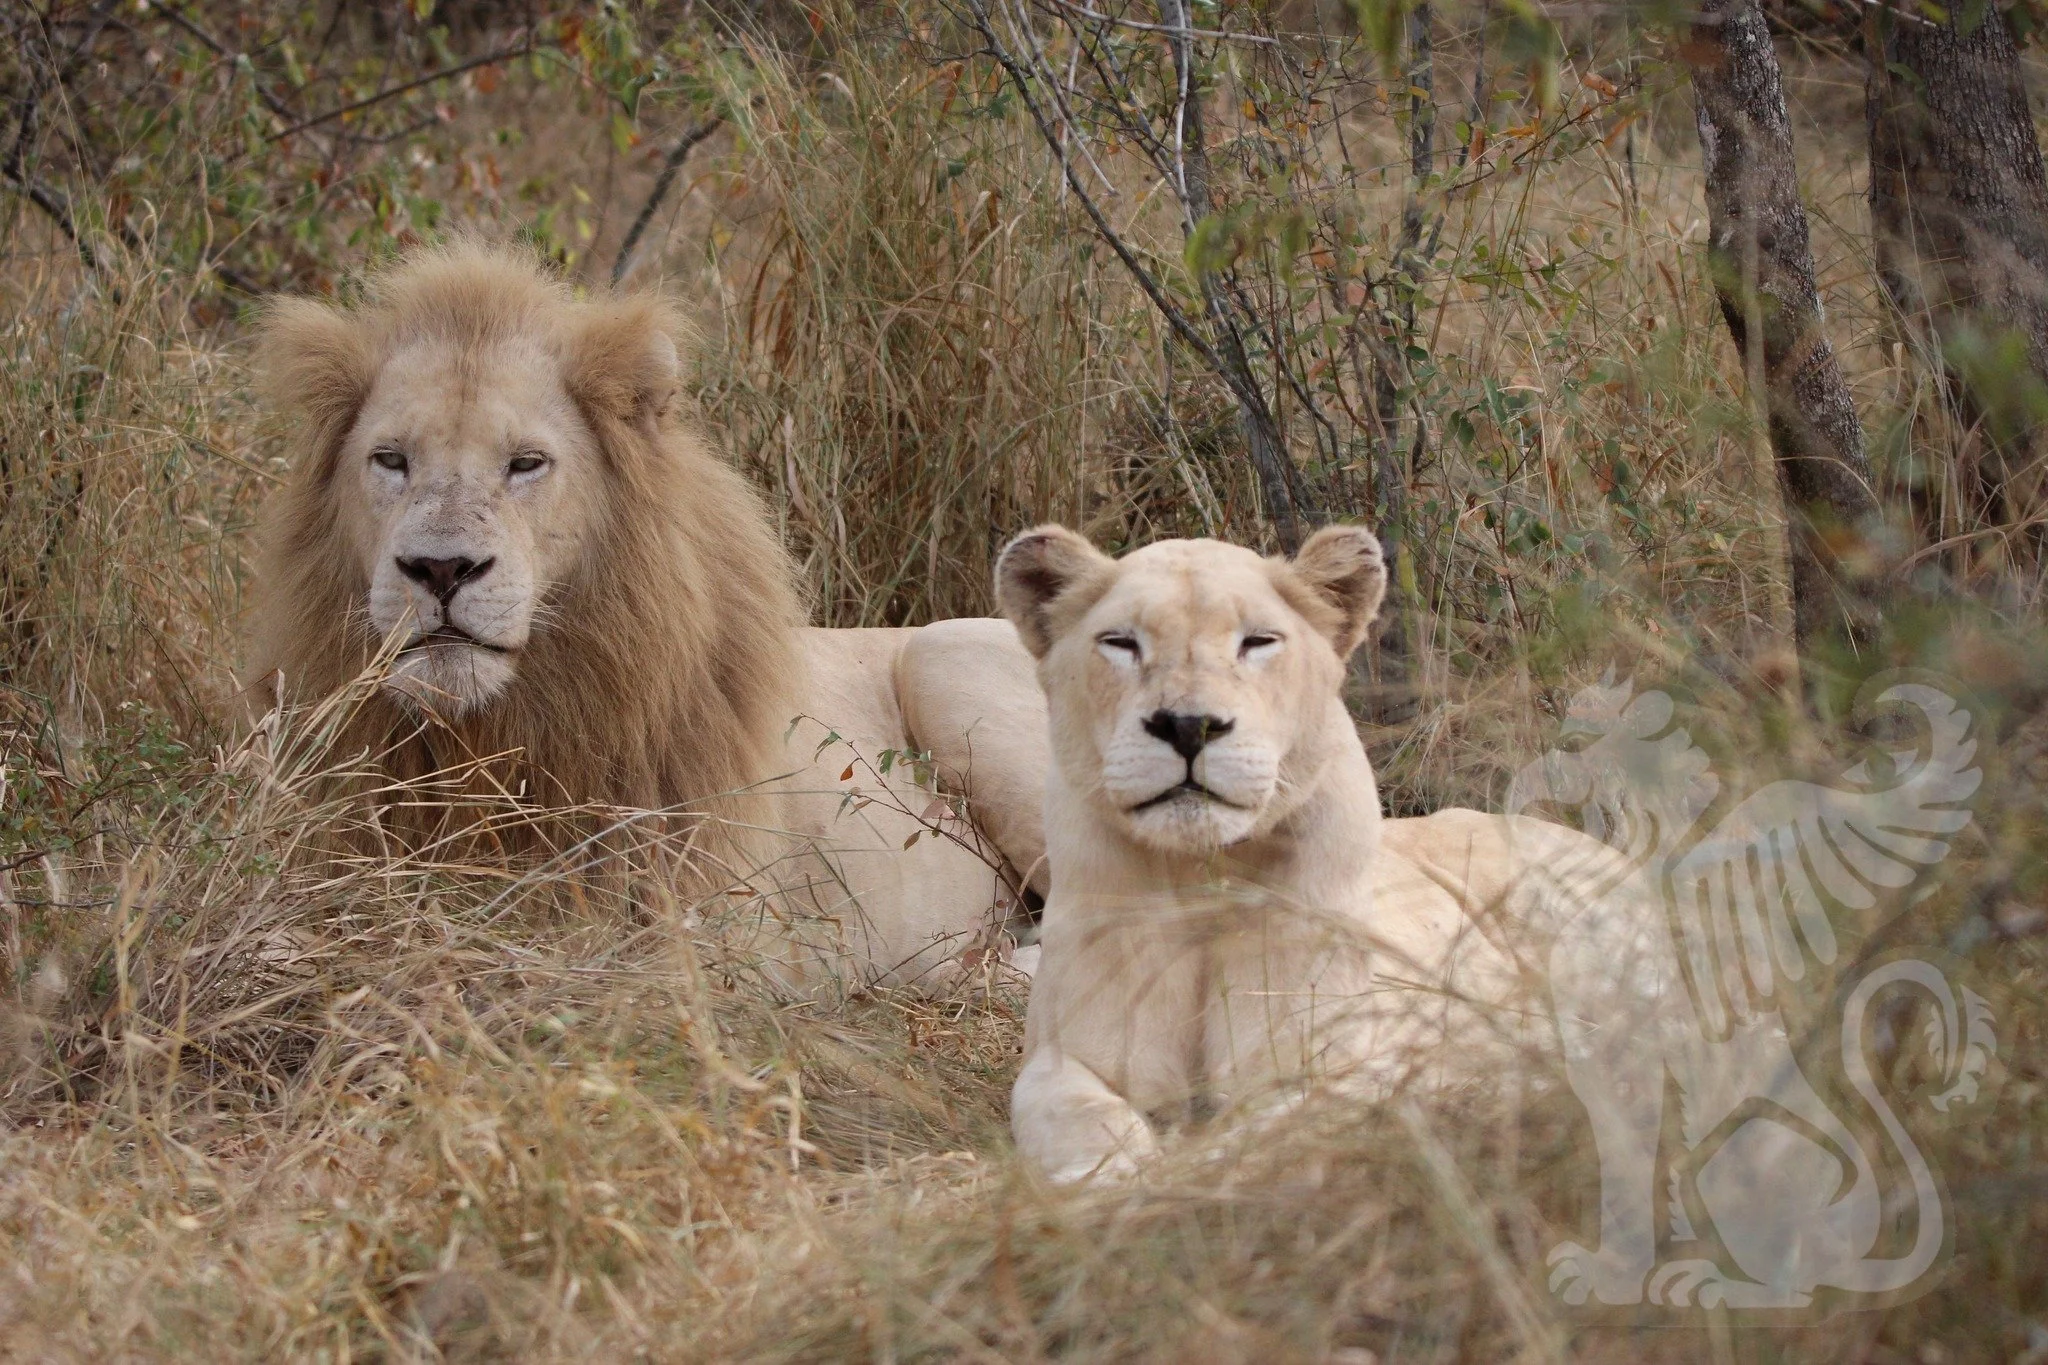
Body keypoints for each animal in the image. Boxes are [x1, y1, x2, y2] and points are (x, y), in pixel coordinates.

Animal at [248, 243, 1050, 986]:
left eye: (526, 463)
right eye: (390, 459)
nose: (441, 568)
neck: (495, 736)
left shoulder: (738, 929)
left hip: (946, 656)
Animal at [993, 523, 1529, 1181]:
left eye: (1257, 642)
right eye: (1119, 643)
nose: (1188, 726)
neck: (1202, 876)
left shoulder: (1349, 1068)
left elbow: (1259, 1142)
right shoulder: (1062, 1063)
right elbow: (1084, 1128)